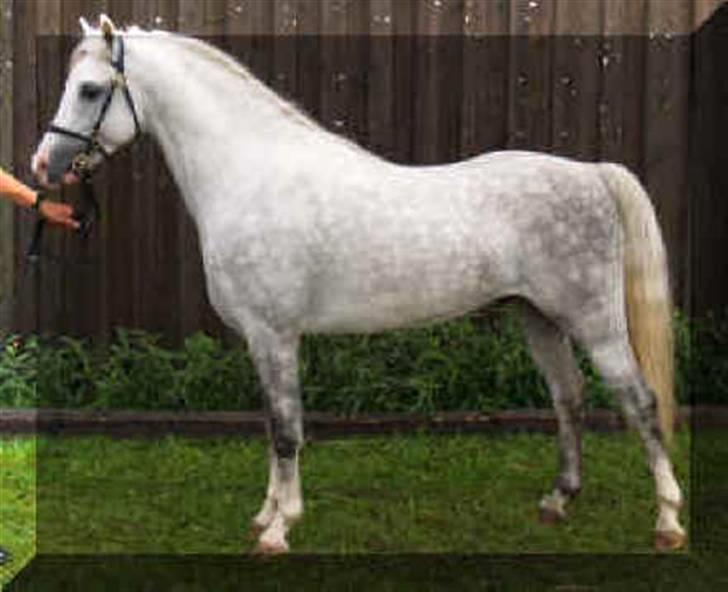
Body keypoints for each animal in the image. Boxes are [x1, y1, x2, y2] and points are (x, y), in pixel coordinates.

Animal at [31, 15, 685, 553]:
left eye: (90, 89)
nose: (43, 165)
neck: (252, 175)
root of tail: (592, 174)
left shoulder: (275, 335)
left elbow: (287, 431)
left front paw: (279, 529)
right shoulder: (260, 341)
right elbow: (271, 426)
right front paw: (266, 513)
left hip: (595, 323)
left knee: (641, 402)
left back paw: (668, 522)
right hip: (539, 318)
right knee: (568, 399)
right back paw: (557, 501)